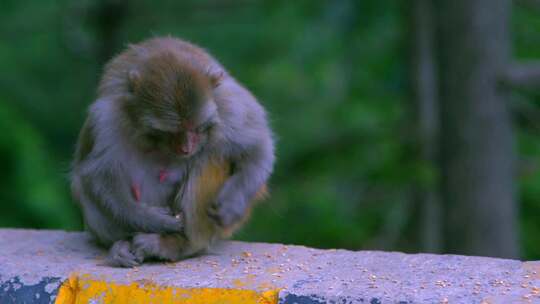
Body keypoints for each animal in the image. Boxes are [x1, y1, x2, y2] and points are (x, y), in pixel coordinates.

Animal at [70, 36, 274, 268]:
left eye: (196, 128)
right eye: (168, 132)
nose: (186, 148)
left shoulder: (231, 107)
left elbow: (258, 149)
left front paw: (232, 203)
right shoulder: (106, 117)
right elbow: (97, 175)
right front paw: (151, 219)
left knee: (210, 158)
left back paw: (177, 245)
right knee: (85, 184)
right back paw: (121, 245)